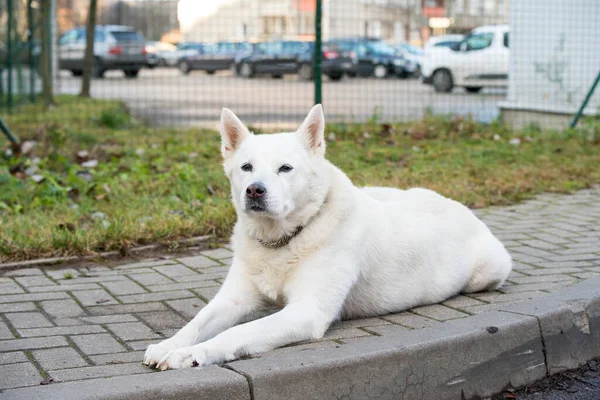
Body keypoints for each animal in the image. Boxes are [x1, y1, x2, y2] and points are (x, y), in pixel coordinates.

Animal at [142, 104, 510, 370]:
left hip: (488, 272)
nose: (254, 190)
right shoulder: (233, 300)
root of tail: (461, 206)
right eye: (246, 167)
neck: (284, 240)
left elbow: (237, 332)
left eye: (285, 168)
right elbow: (195, 323)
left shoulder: (307, 312)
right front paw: (169, 345)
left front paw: (193, 354)